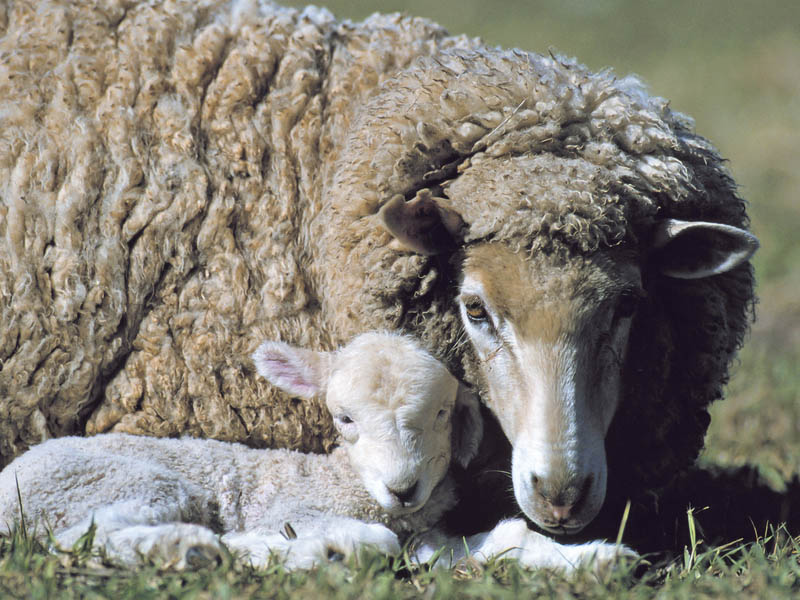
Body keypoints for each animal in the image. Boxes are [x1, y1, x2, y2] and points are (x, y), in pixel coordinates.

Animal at [0, 331, 484, 569]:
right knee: (80, 539)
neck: (338, 478)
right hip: (114, 482)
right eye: (345, 418)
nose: (403, 489)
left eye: (443, 413)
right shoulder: (292, 507)